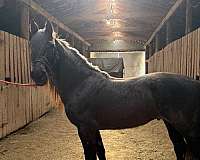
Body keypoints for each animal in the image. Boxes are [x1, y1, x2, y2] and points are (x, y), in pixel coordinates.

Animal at [30, 21, 200, 160]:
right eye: (31, 46)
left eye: (50, 46)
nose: (37, 75)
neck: (81, 83)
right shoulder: (93, 129)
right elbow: (101, 152)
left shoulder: (84, 129)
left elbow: (91, 155)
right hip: (171, 124)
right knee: (179, 148)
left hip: (188, 130)